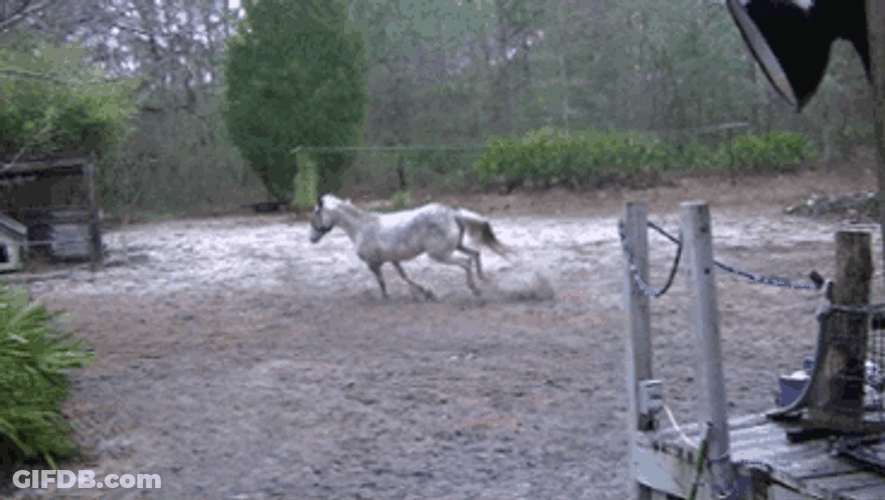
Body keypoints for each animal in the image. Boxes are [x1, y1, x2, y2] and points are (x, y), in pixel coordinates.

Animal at [308, 194, 509, 300]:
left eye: (316, 213)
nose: (311, 238)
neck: (361, 228)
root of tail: (452, 214)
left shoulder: (373, 264)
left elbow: (382, 281)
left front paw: (386, 297)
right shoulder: (393, 259)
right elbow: (404, 276)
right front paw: (426, 292)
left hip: (441, 254)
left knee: (466, 262)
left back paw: (475, 289)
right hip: (456, 246)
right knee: (475, 254)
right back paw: (483, 279)